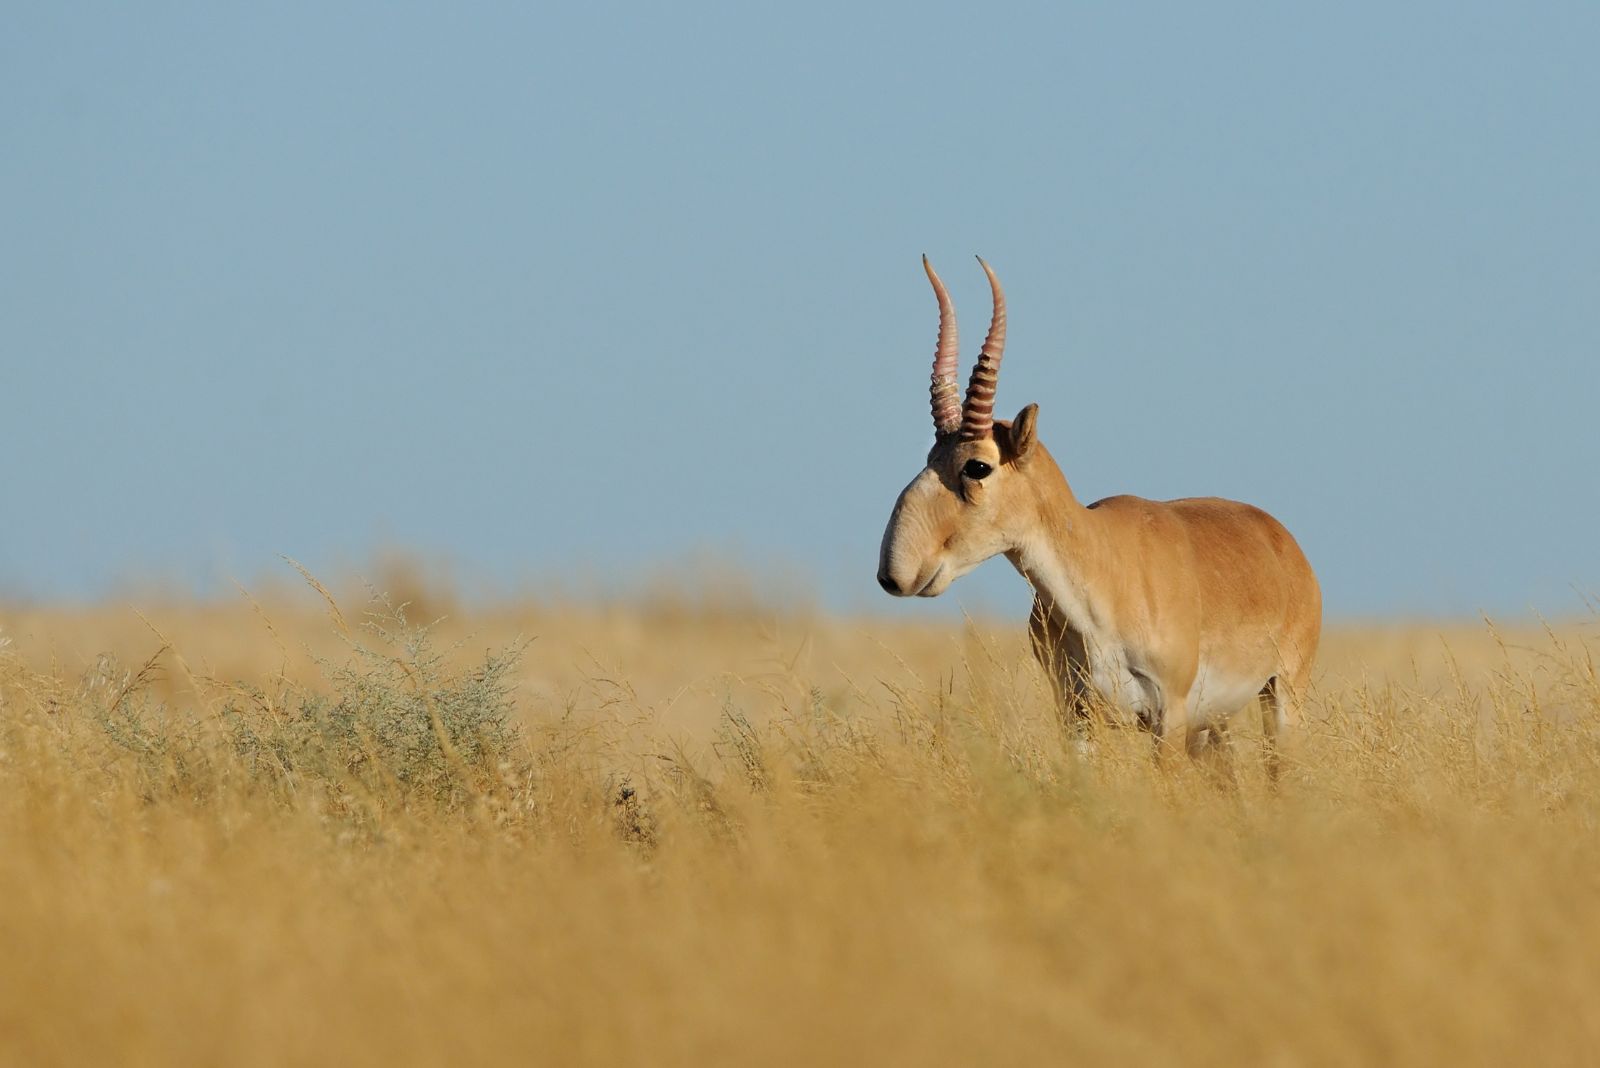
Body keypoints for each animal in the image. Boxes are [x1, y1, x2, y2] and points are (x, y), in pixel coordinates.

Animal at [883, 259, 1318, 777]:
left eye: (978, 466)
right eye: (931, 456)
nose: (895, 573)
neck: (1101, 562)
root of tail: (1283, 542)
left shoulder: (1167, 717)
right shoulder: (1076, 716)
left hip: (1280, 697)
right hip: (1215, 726)